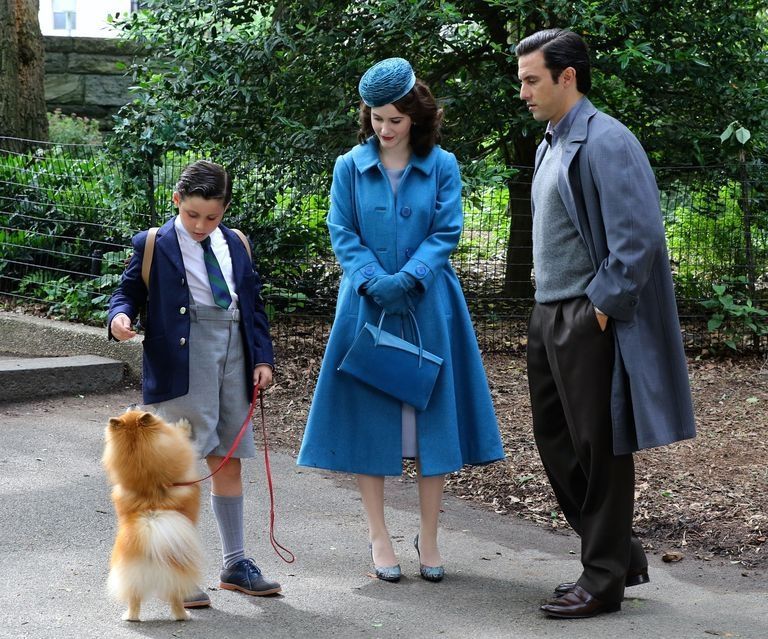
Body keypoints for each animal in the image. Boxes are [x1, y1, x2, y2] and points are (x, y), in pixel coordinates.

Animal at [103, 410, 203, 622]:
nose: (133, 404)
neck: (150, 488)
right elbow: (183, 435)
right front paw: (184, 425)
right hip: (176, 576)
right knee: (176, 600)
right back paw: (184, 615)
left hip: (133, 577)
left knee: (134, 600)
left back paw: (130, 617)